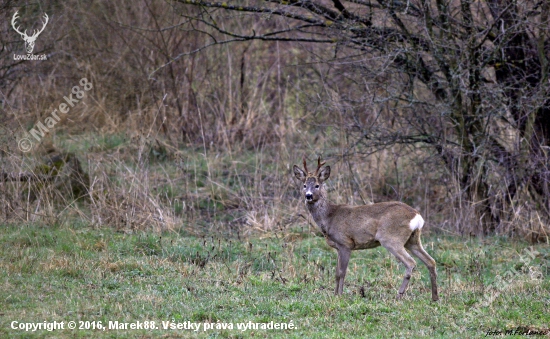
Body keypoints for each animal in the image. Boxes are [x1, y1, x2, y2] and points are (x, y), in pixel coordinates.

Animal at [296, 158, 442, 302]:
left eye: (317, 185)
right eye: (304, 185)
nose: (308, 196)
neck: (329, 217)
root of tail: (416, 216)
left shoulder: (345, 243)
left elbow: (342, 272)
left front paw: (339, 295)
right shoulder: (338, 247)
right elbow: (337, 272)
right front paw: (335, 294)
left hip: (391, 238)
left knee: (411, 262)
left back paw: (399, 295)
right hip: (412, 240)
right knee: (431, 261)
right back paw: (434, 297)